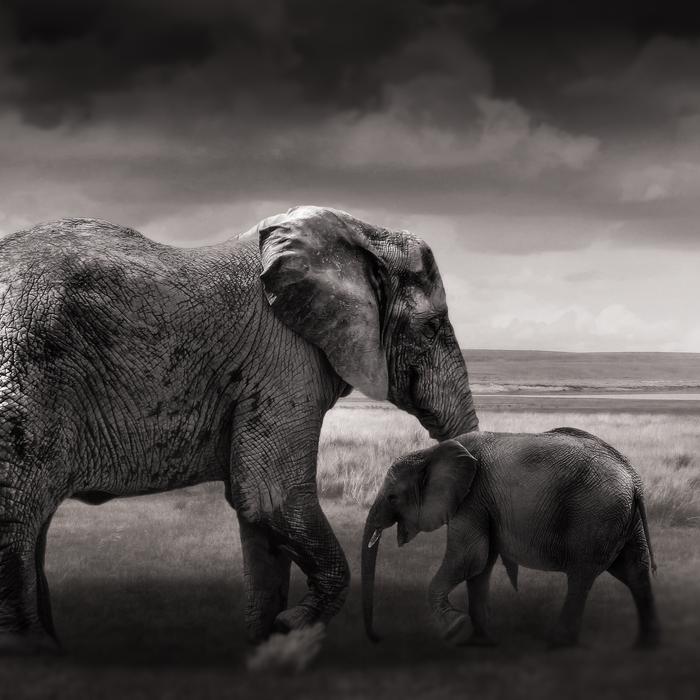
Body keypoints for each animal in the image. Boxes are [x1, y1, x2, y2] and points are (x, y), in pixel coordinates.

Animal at [0, 205, 479, 653]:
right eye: (432, 327)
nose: (456, 627)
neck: (364, 236)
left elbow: (260, 517)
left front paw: (266, 642)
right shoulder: (284, 360)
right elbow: (271, 496)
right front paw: (291, 624)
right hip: (27, 376)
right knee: (19, 512)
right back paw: (37, 652)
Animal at [362, 427, 660, 649]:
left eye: (392, 497)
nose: (378, 638)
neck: (431, 452)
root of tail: (634, 479)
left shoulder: (472, 499)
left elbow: (469, 558)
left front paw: (454, 628)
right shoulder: (484, 504)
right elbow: (479, 566)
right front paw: (480, 641)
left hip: (595, 514)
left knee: (581, 576)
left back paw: (557, 643)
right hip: (624, 518)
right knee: (635, 571)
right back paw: (645, 646)